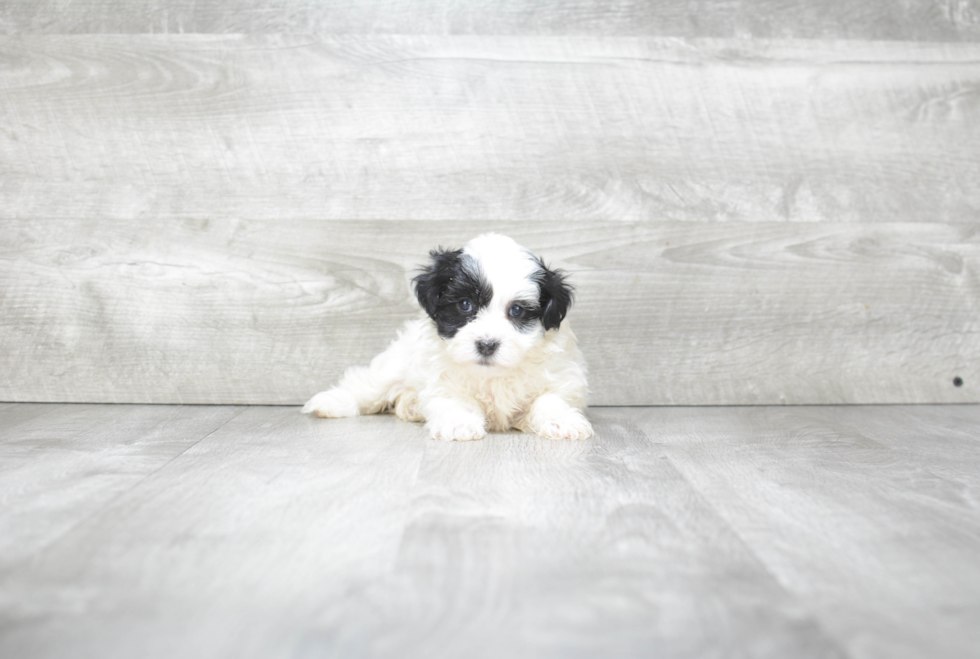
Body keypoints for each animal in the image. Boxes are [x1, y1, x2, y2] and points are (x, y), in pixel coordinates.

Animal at [300, 233, 588, 444]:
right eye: (465, 305)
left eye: (516, 311)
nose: (486, 344)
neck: (492, 376)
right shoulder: (442, 378)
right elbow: (453, 399)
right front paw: (460, 424)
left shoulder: (560, 375)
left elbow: (551, 398)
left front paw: (563, 421)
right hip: (396, 363)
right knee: (368, 385)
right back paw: (331, 403)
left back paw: (411, 405)